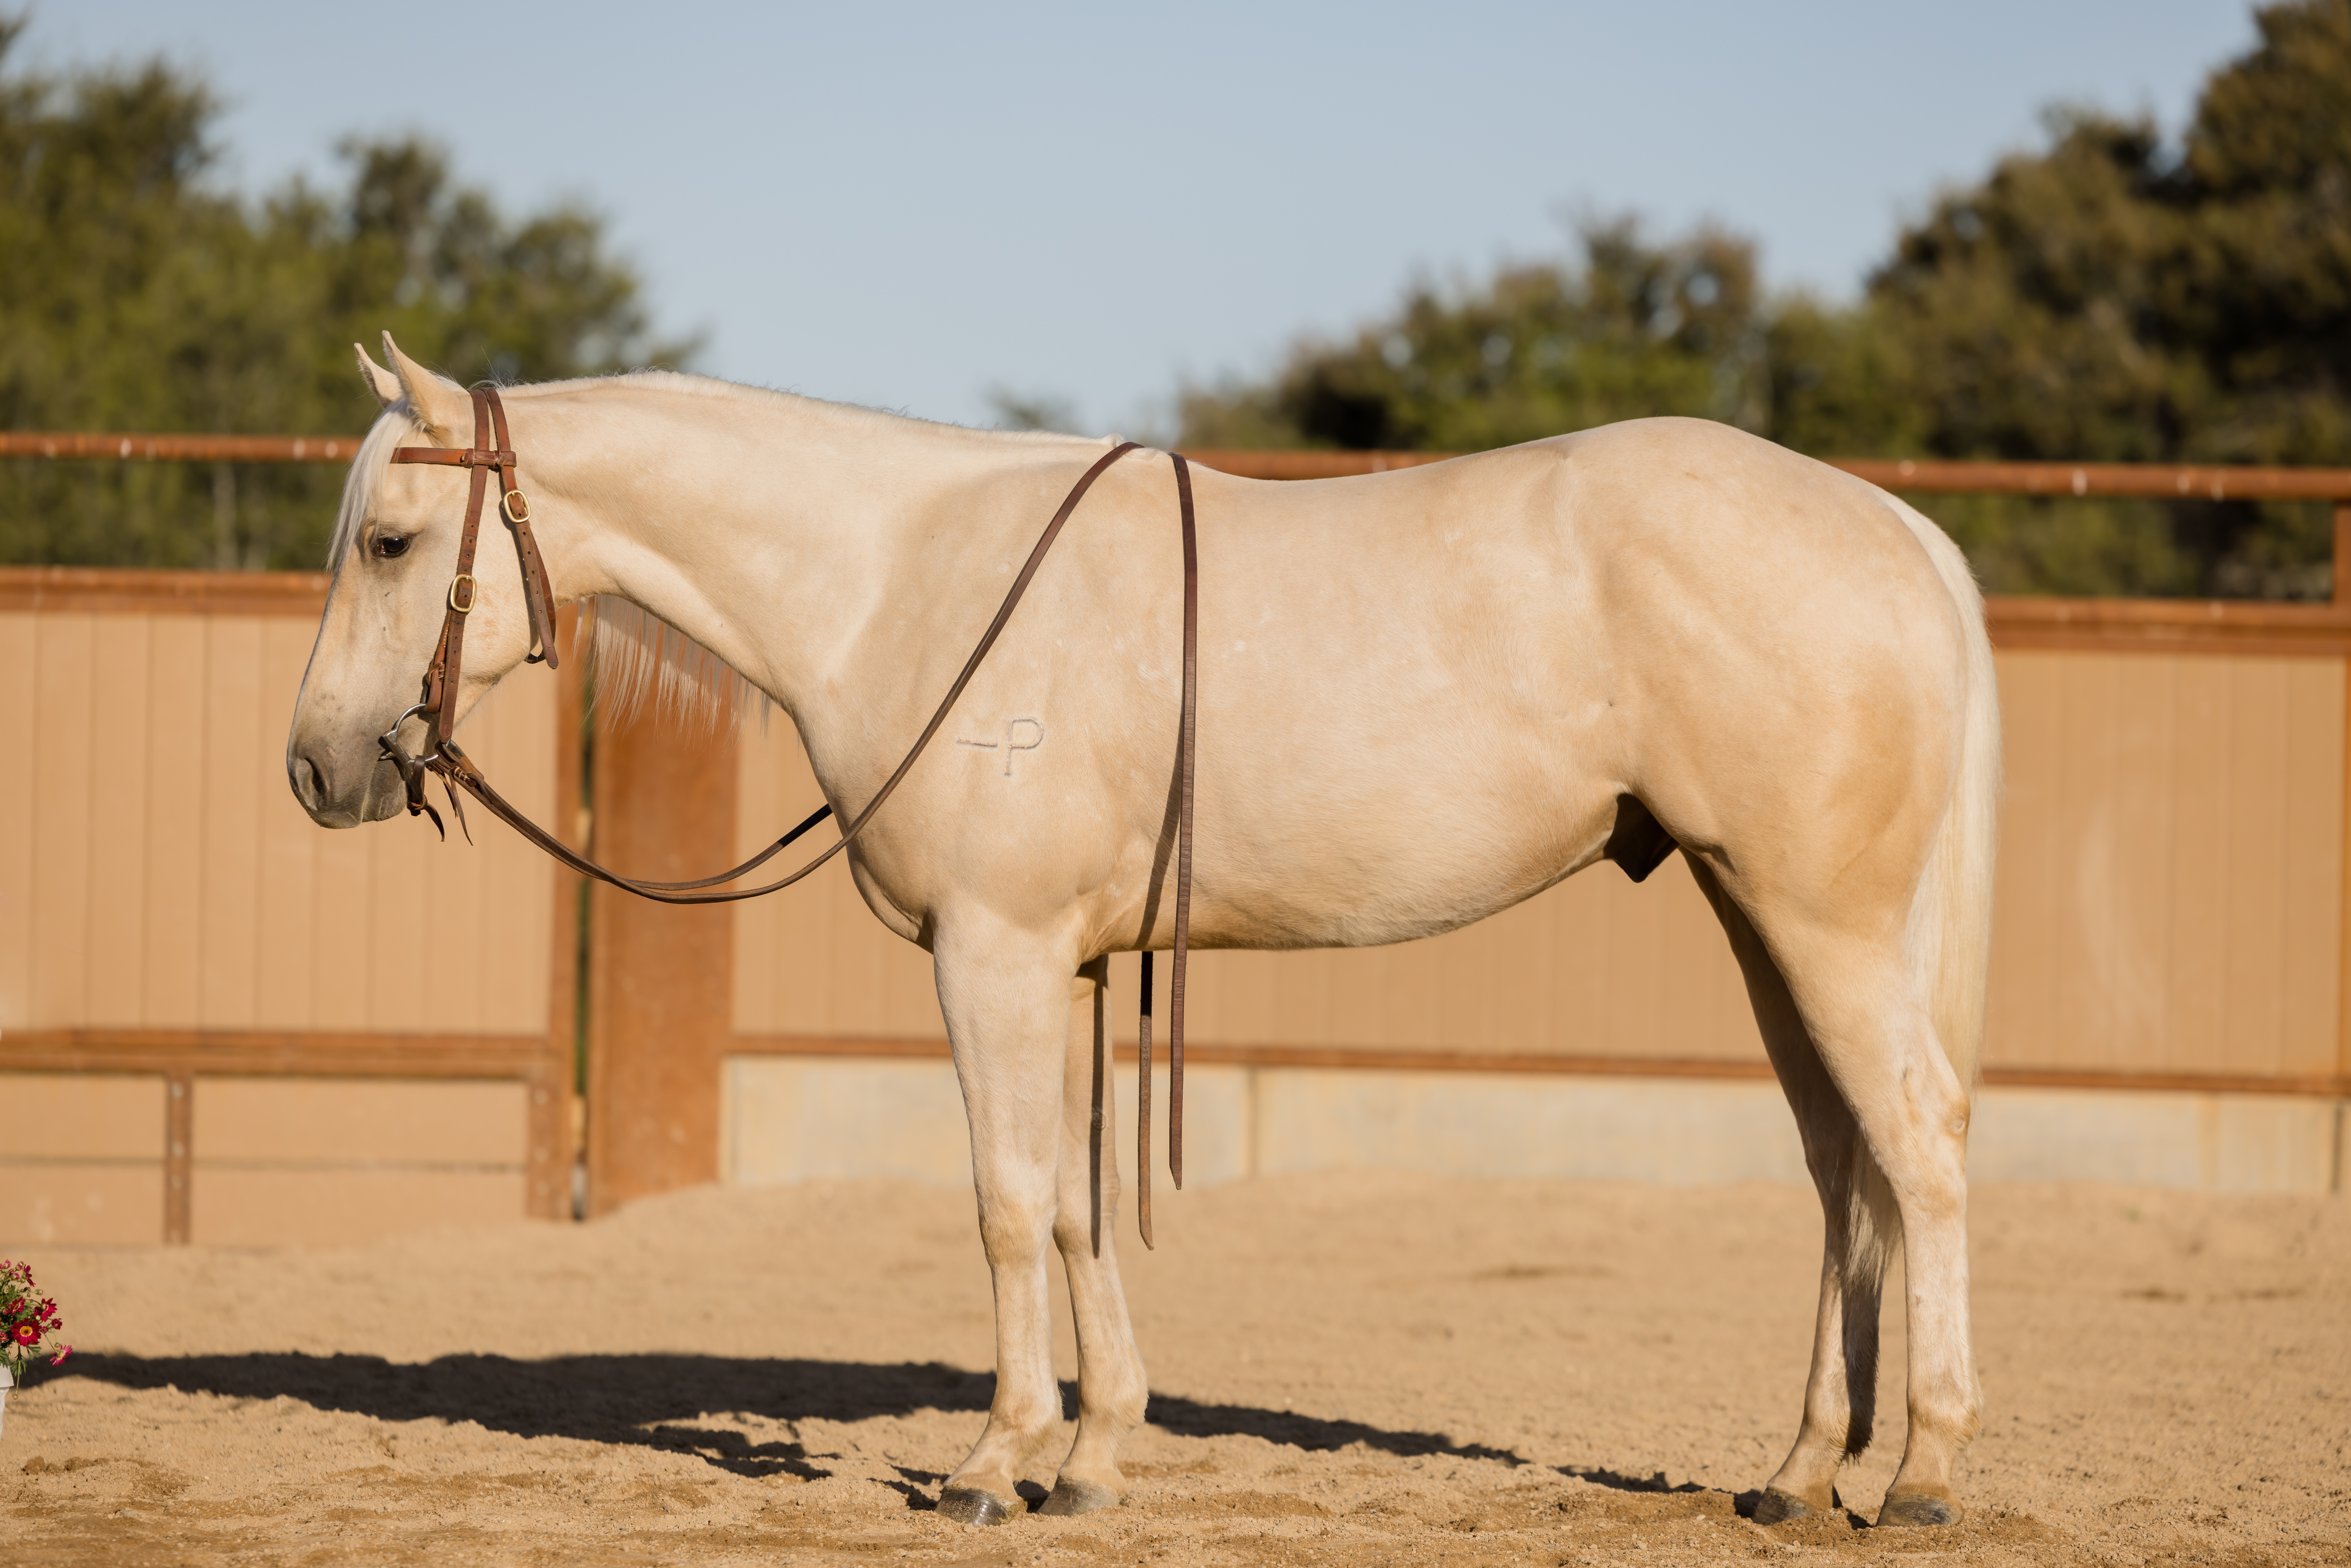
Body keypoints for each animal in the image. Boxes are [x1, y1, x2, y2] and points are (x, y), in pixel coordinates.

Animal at [288, 334, 1998, 1530]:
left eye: (389, 541)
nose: (315, 767)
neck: (898, 582)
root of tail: (1898, 534)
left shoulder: (990, 954)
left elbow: (1004, 1201)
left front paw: (994, 1459)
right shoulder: (1062, 964)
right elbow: (1074, 1205)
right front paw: (1095, 1451)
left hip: (1820, 921)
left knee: (1913, 1144)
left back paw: (1919, 1467)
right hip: (1757, 912)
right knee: (1839, 1165)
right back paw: (1798, 1469)